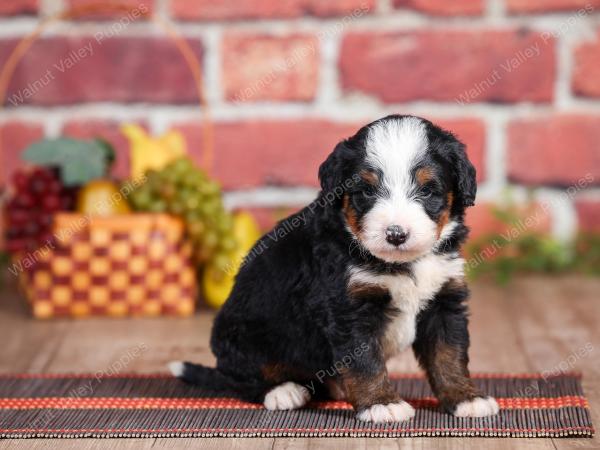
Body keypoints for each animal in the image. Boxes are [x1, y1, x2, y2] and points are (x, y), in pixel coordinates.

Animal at [171, 115, 500, 422]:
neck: (402, 264)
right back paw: (283, 391)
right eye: (367, 192)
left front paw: (465, 398)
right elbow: (366, 362)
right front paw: (381, 404)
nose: (396, 234)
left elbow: (449, 355)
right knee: (241, 377)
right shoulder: (349, 308)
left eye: (428, 190)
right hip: (240, 335)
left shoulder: (444, 299)